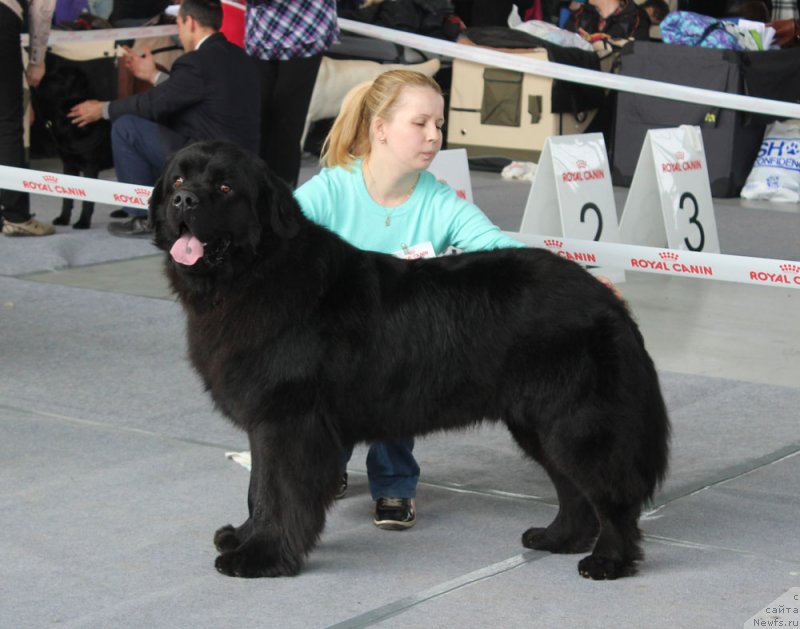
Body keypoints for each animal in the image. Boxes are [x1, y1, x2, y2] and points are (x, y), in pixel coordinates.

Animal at [31, 52, 113, 227]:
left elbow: (87, 200)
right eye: (54, 72)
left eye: (61, 78)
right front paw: (63, 218)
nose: (39, 79)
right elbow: (67, 198)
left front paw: (83, 222)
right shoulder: (68, 164)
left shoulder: (90, 166)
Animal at [148, 141, 668, 580]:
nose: (184, 203)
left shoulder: (287, 421)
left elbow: (277, 493)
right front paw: (242, 537)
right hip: (537, 423)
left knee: (611, 494)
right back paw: (558, 537)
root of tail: (606, 298)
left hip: (576, 422)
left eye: (225, 188)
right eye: (178, 180)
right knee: (572, 489)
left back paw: (608, 561)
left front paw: (263, 556)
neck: (255, 275)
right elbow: (258, 488)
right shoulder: (267, 423)